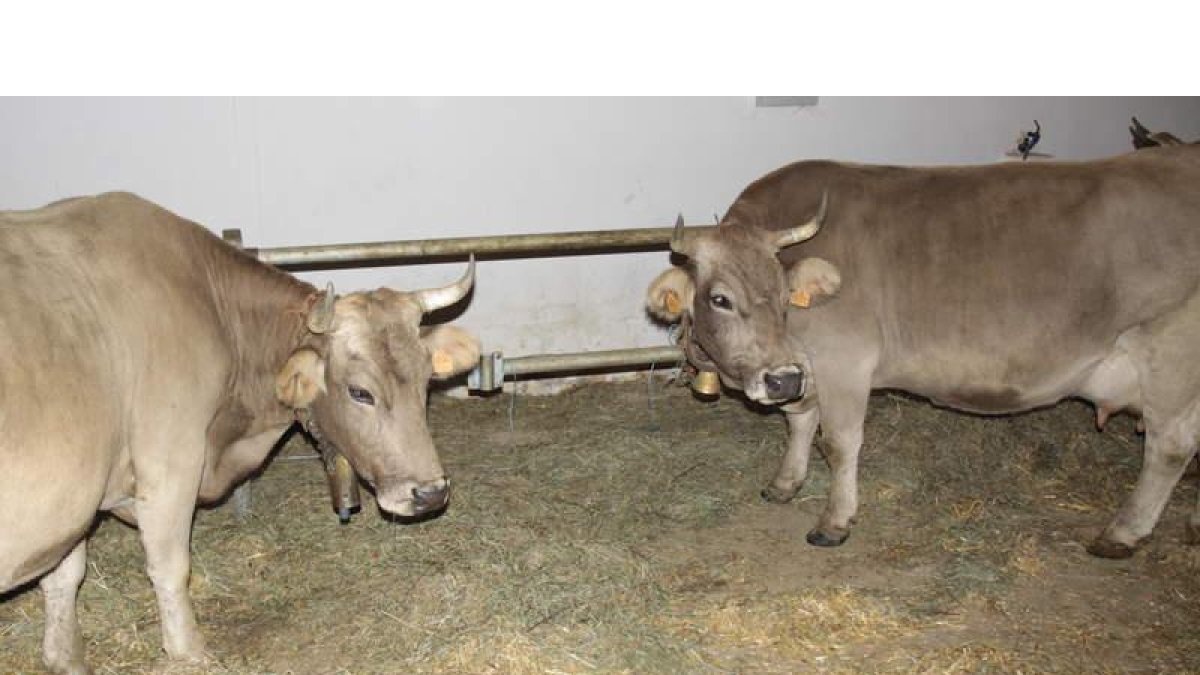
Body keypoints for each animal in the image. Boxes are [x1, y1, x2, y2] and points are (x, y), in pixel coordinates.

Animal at [0, 192, 481, 674]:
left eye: (426, 381)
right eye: (360, 392)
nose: (430, 493)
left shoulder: (76, 502)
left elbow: (64, 574)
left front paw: (64, 657)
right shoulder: (170, 463)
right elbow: (169, 566)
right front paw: (189, 652)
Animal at [646, 145, 1200, 560]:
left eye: (785, 296)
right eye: (720, 298)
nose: (780, 381)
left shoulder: (845, 361)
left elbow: (839, 442)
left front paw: (834, 520)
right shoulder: (804, 366)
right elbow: (799, 422)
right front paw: (785, 483)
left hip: (1170, 356)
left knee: (1170, 447)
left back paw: (1122, 533)